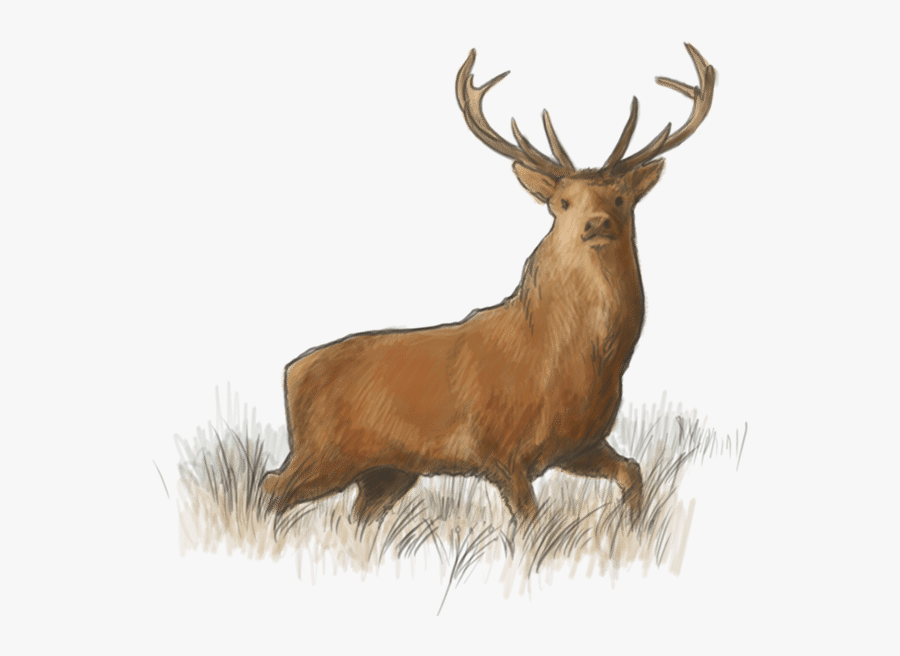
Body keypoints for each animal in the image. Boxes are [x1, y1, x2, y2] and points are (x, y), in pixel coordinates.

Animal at [262, 44, 715, 525]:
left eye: (620, 197)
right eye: (562, 202)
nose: (596, 224)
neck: (569, 362)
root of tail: (291, 373)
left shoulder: (581, 444)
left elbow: (632, 470)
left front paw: (631, 530)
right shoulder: (501, 450)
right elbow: (531, 525)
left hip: (388, 471)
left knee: (356, 516)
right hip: (324, 452)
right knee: (272, 487)